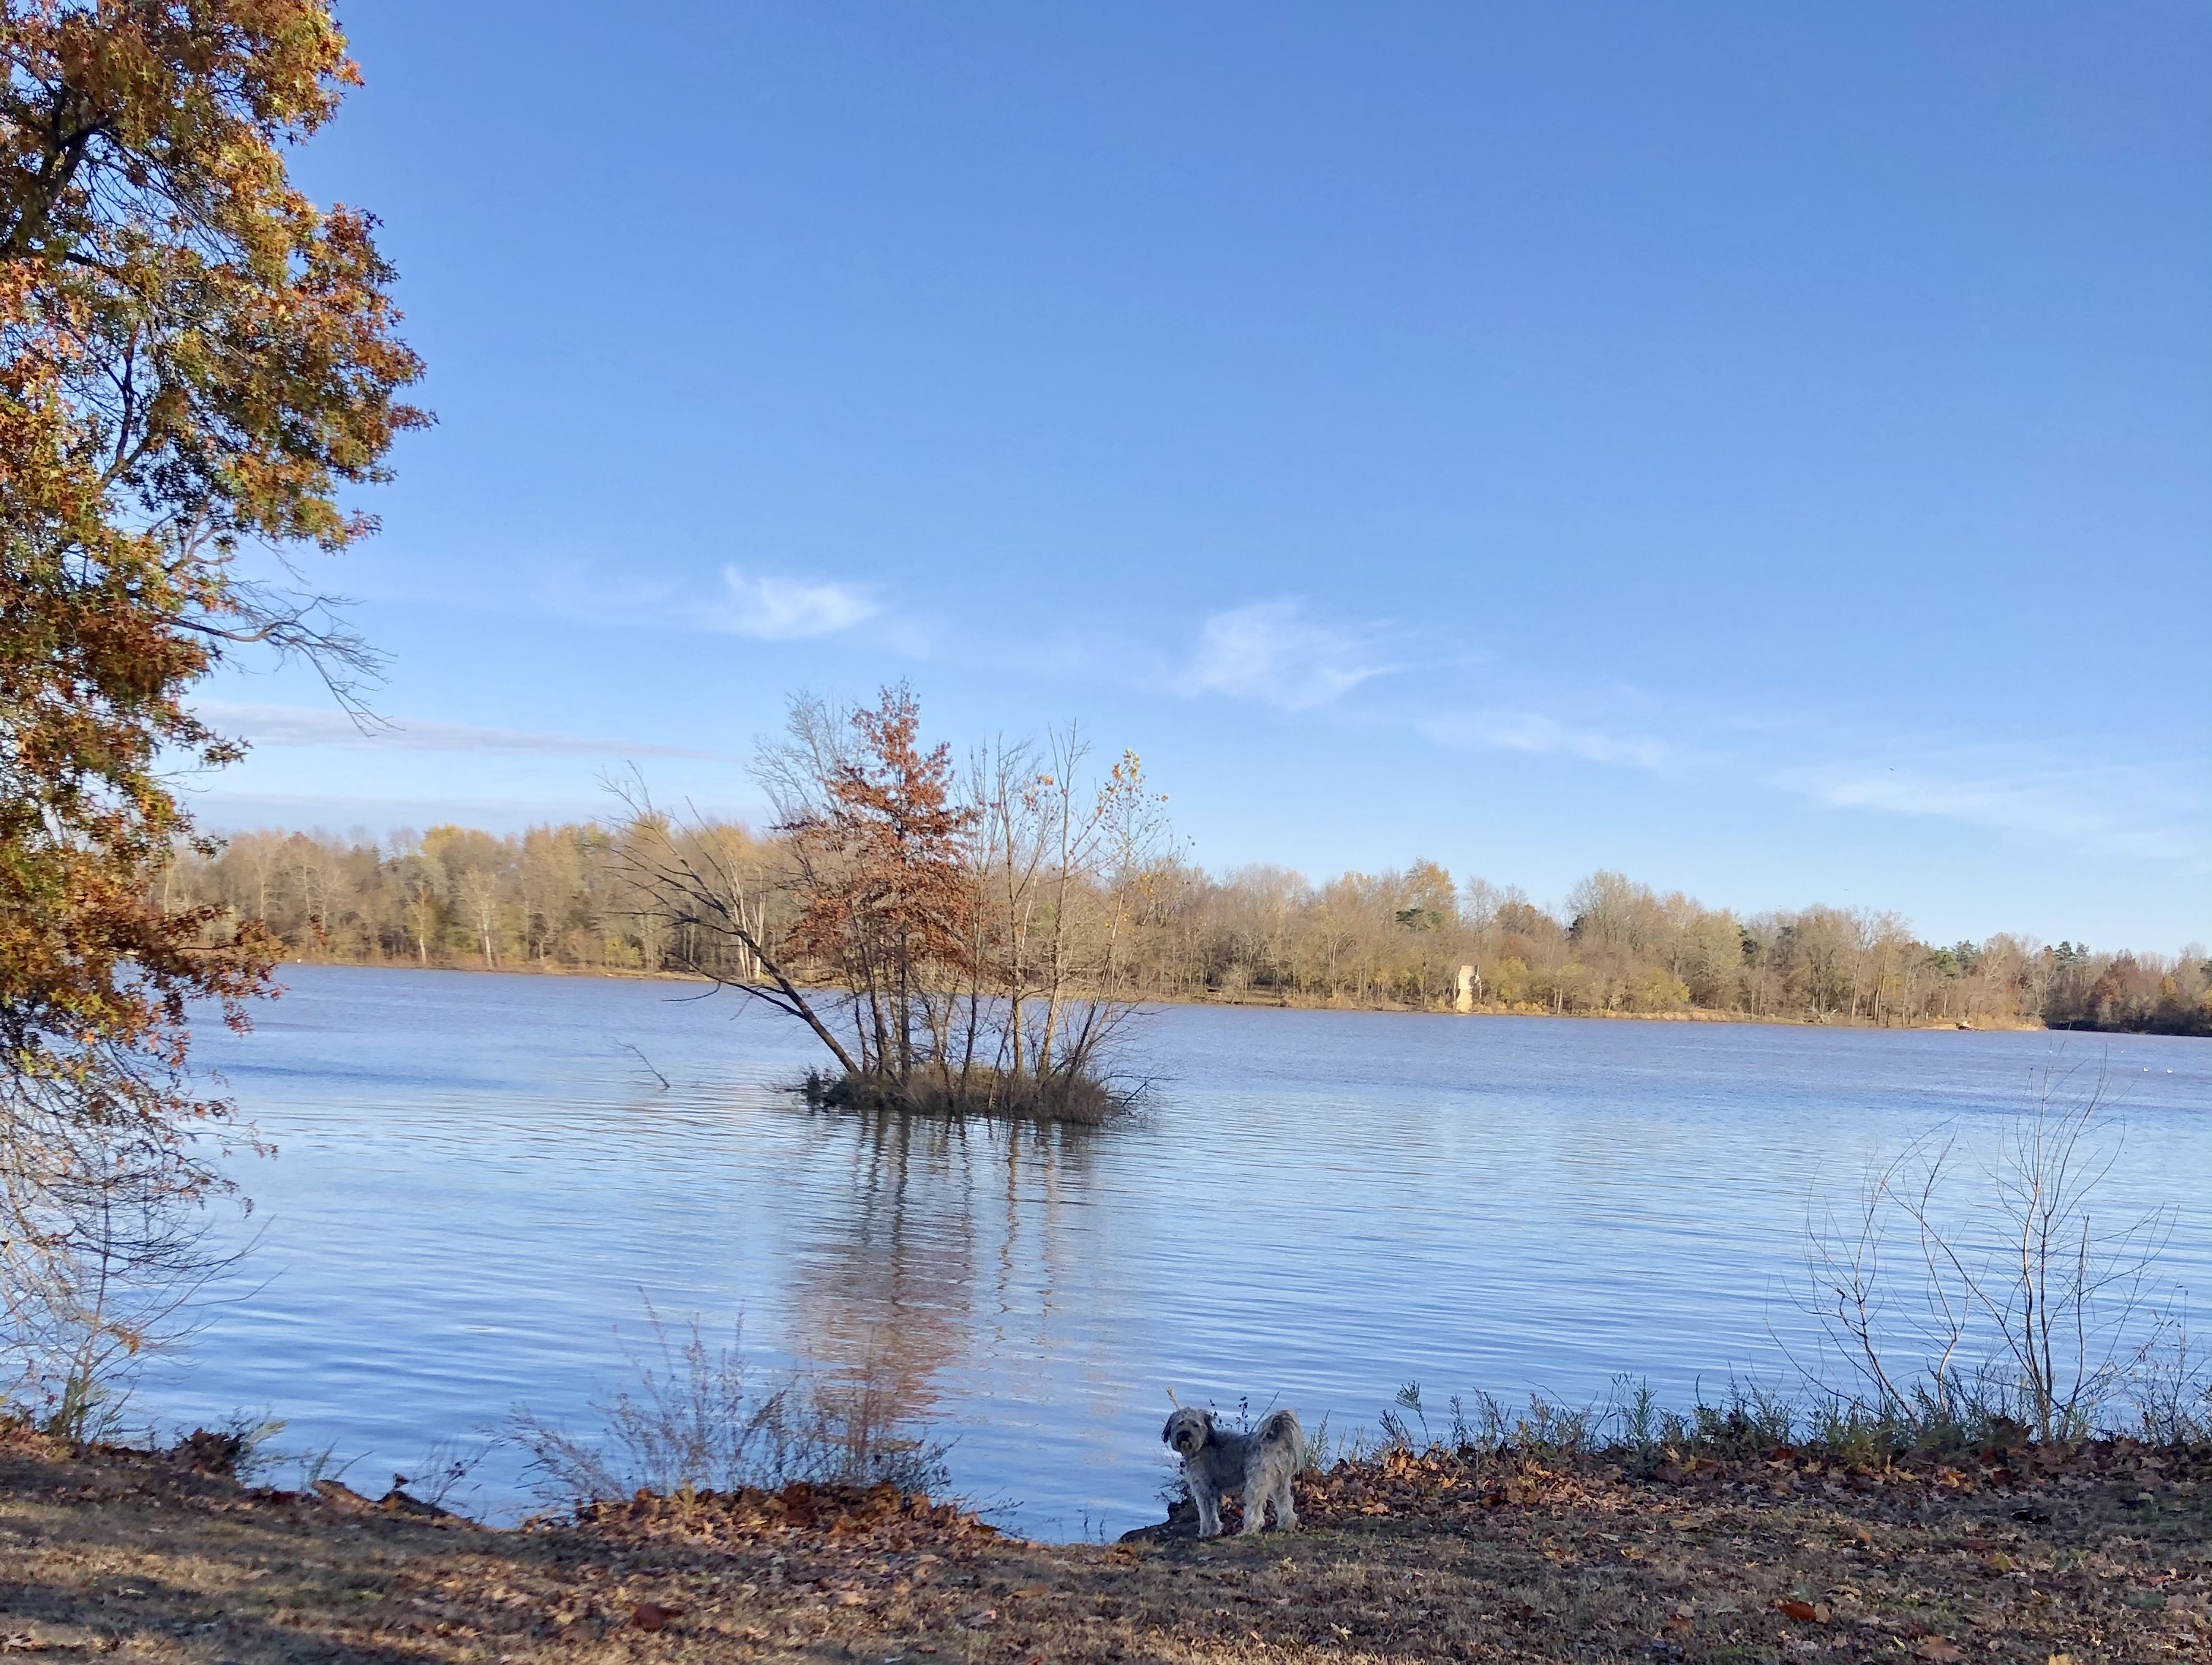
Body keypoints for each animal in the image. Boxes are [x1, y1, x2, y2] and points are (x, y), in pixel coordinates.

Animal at [1161, 1405, 1302, 1538]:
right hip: (1281, 1483)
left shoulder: (1203, 1488)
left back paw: (1247, 1531)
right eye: (1181, 1423)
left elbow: (1207, 1514)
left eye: (1196, 1425)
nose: (1185, 1434)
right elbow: (1212, 1513)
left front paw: (1207, 1532)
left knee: (1255, 1512)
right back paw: (1287, 1525)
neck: (1202, 1446)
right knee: (1286, 1503)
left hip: (1256, 1484)